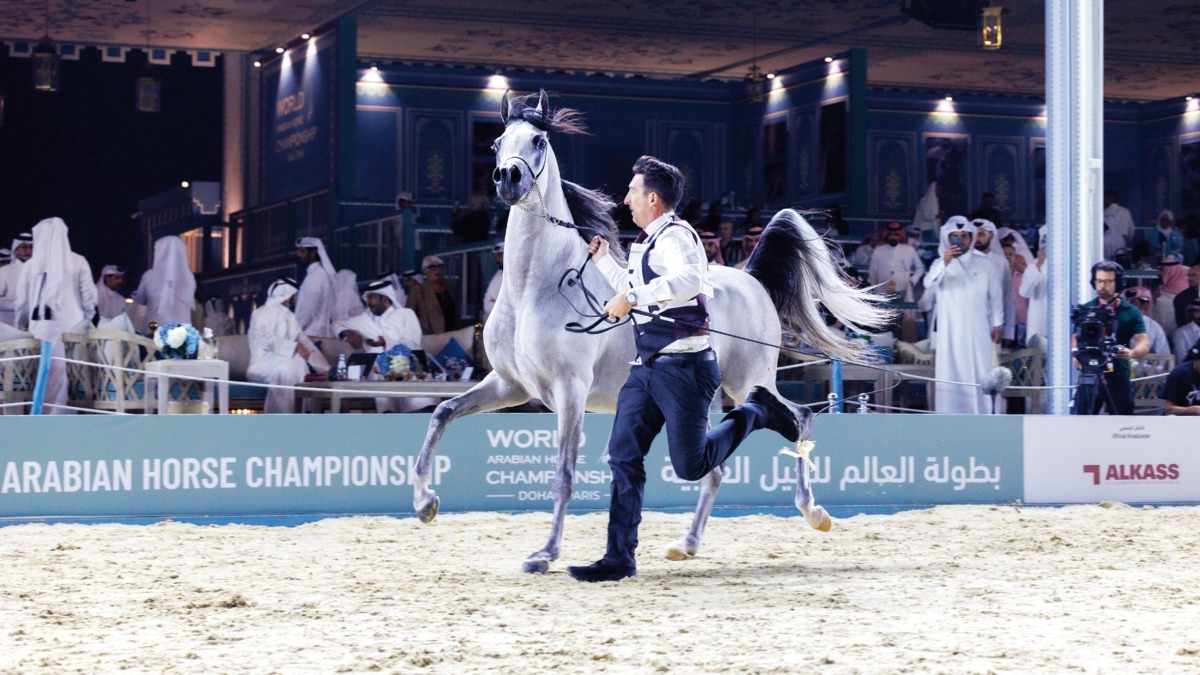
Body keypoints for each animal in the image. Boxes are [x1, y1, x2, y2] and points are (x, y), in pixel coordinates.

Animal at [412, 89, 892, 569]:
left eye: (539, 141)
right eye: (496, 144)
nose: (507, 178)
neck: (536, 287)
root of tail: (752, 279)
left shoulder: (570, 389)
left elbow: (564, 474)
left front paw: (545, 553)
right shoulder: (511, 385)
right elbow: (442, 413)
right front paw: (425, 503)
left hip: (748, 380)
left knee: (798, 415)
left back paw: (813, 512)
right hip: (712, 397)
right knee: (715, 463)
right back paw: (687, 543)